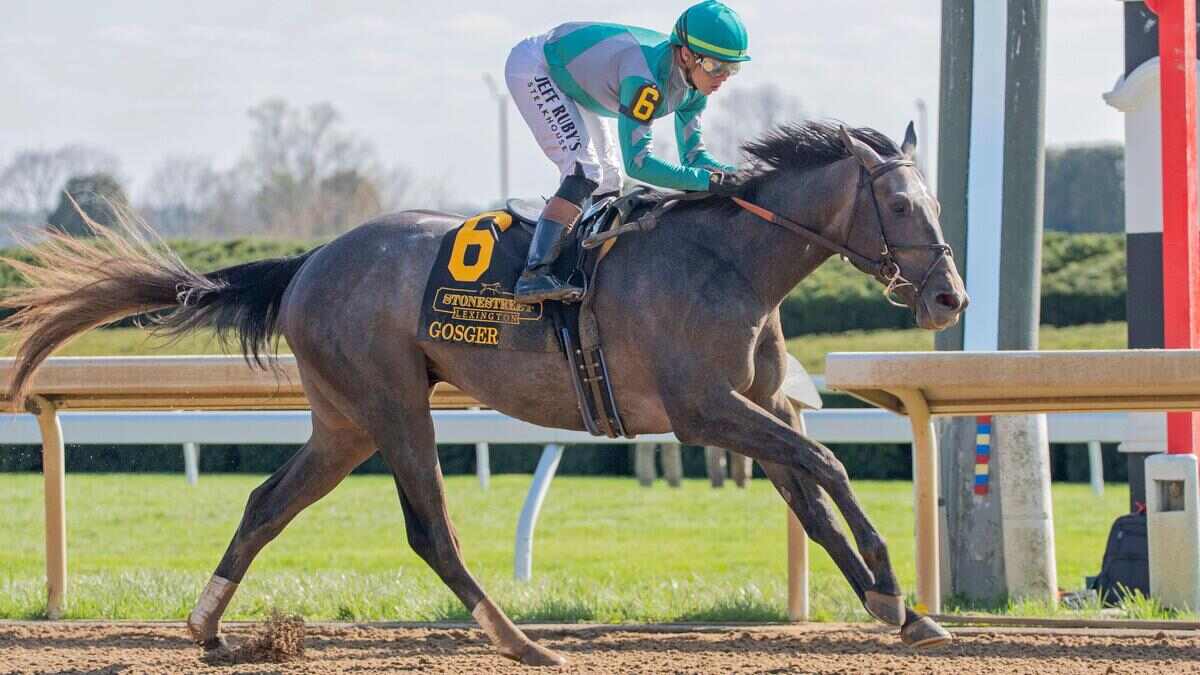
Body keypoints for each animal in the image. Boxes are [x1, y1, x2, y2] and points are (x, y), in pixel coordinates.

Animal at [2, 121, 968, 666]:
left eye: (936, 203)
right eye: (903, 207)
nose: (949, 298)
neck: (728, 261)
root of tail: (309, 260)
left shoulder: (752, 409)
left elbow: (813, 500)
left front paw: (905, 612)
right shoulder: (705, 409)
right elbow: (828, 463)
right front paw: (894, 591)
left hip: (345, 423)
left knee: (266, 502)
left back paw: (206, 626)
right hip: (394, 405)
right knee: (430, 528)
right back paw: (518, 639)